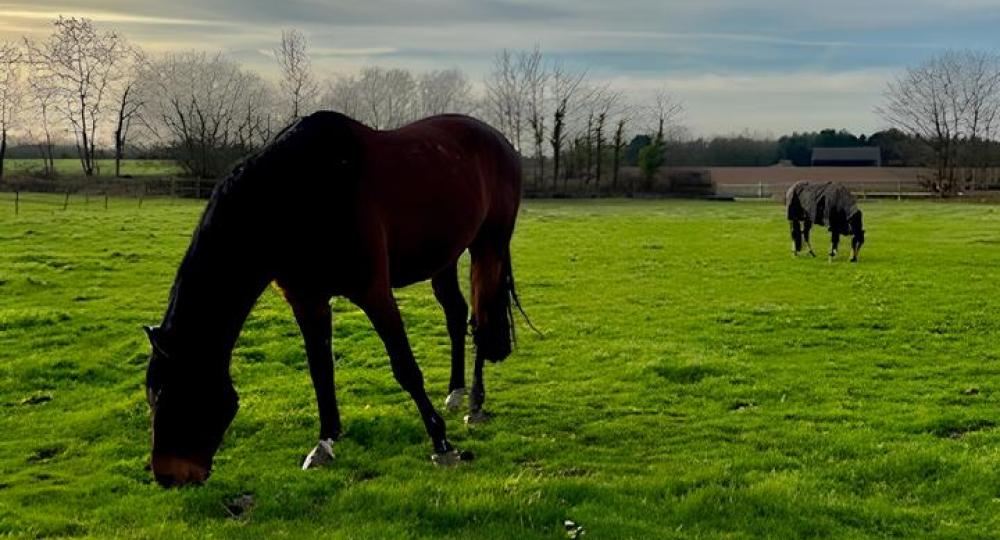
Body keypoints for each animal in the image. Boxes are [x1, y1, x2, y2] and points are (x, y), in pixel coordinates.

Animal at [146, 112, 532, 488]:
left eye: (174, 394)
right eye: (152, 395)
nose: (168, 477)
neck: (298, 196)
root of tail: (502, 143)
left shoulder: (374, 292)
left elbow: (405, 367)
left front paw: (442, 445)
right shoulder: (307, 300)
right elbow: (321, 370)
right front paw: (325, 443)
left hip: (489, 245)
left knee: (482, 320)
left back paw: (476, 403)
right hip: (444, 256)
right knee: (456, 313)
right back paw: (456, 392)